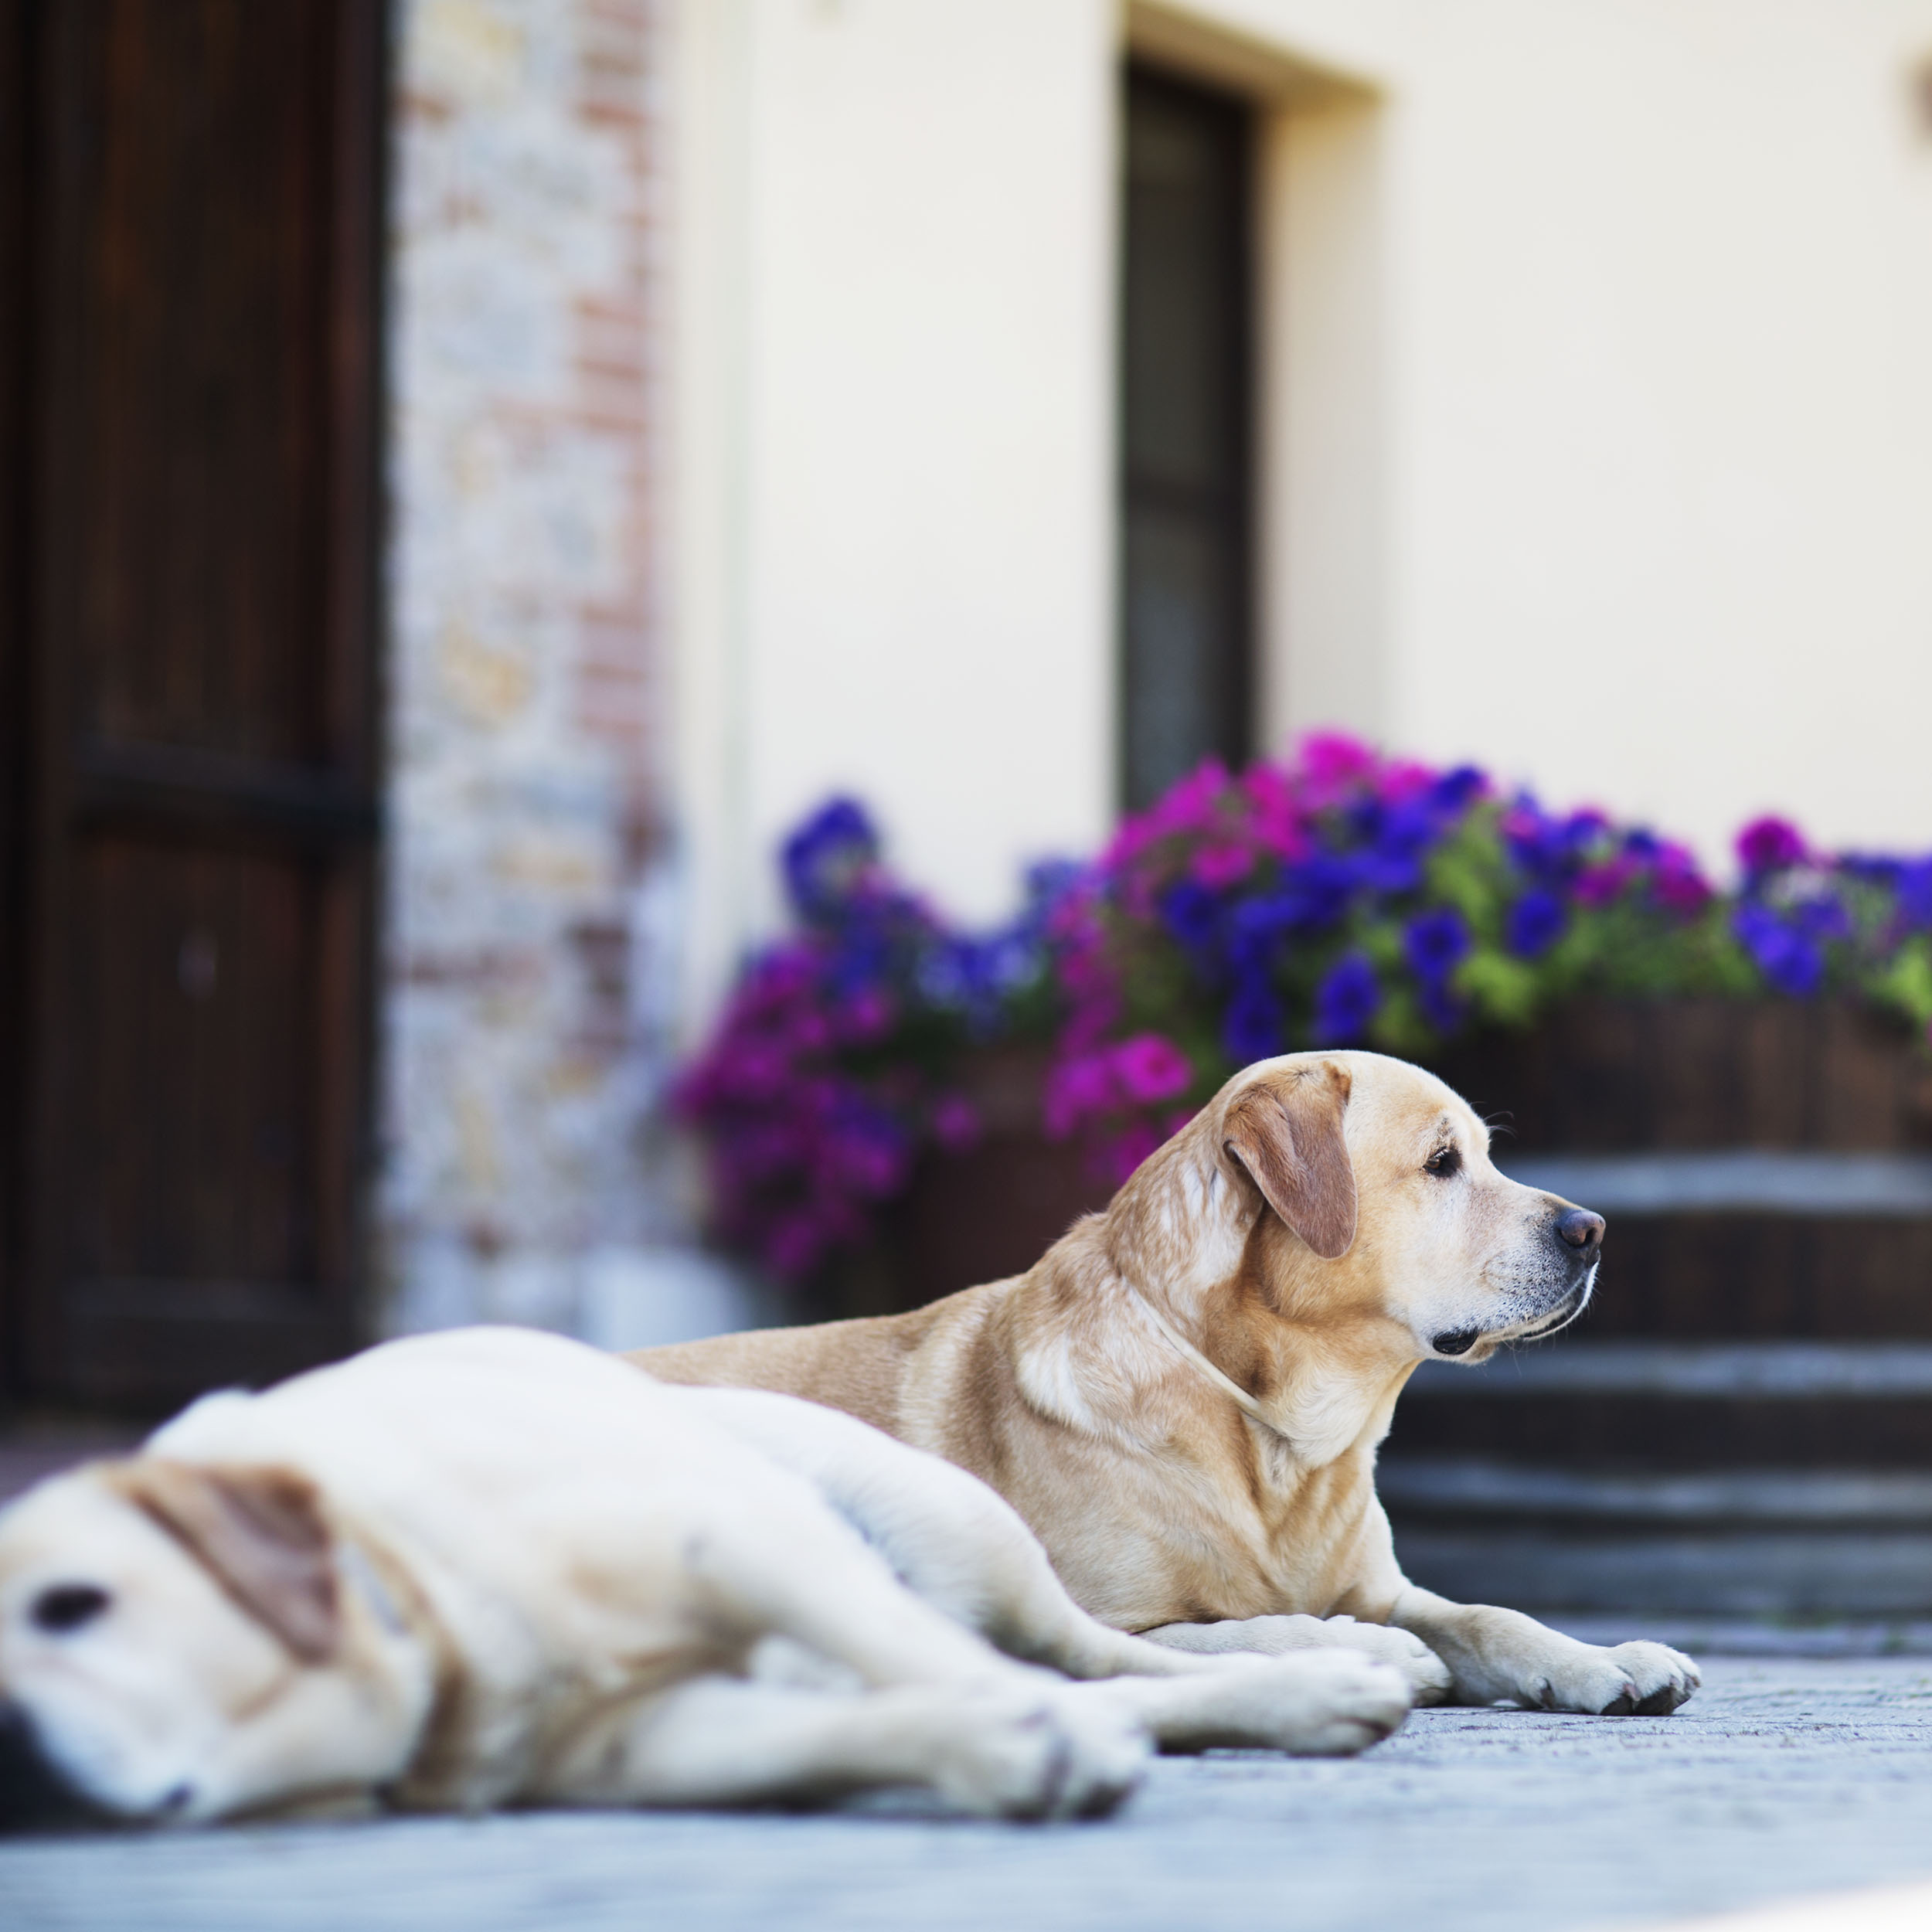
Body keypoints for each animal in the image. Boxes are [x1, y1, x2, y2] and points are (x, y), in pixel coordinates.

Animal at [3, 1321, 1422, 1832]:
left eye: (74, 1604)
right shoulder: (655, 1741)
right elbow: (895, 1716)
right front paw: (1009, 1755)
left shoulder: (735, 1535)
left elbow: (956, 1667)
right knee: (1100, 1673)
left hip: (943, 1522)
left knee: (1097, 1654)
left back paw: (1322, 1675)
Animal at [641, 1051, 1700, 1716]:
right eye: (1442, 1163)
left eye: (1483, 1153)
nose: (1593, 1230)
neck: (1279, 1438)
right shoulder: (1112, 1617)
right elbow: (1241, 1633)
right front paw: (1362, 1654)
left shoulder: (1384, 1587)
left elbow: (1487, 1614)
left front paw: (1602, 1656)